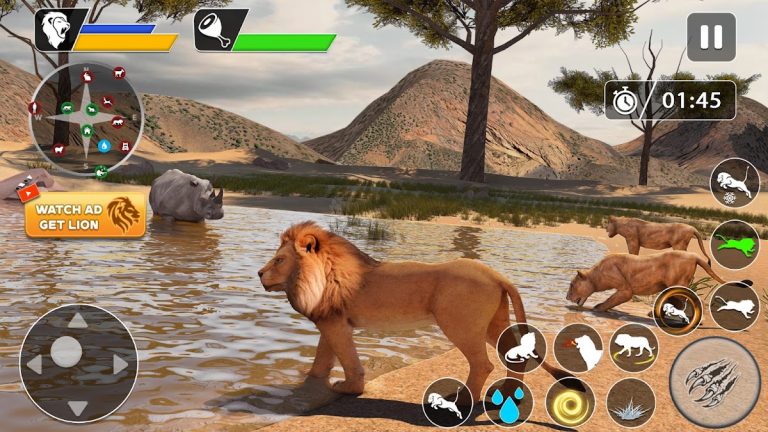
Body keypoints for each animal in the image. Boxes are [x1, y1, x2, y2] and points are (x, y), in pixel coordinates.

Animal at [258, 221, 571, 401]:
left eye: (279, 260)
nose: (259, 273)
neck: (316, 276)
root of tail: (496, 275)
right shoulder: (331, 322)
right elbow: (321, 360)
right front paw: (309, 382)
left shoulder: (336, 325)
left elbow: (348, 360)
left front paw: (349, 389)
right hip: (494, 324)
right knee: (515, 358)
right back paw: (506, 395)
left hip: (461, 325)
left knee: (483, 364)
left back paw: (463, 399)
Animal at [566, 251, 725, 311]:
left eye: (572, 285)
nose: (566, 297)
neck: (596, 274)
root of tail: (694, 255)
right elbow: (612, 299)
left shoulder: (626, 290)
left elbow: (611, 299)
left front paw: (598, 308)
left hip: (678, 284)